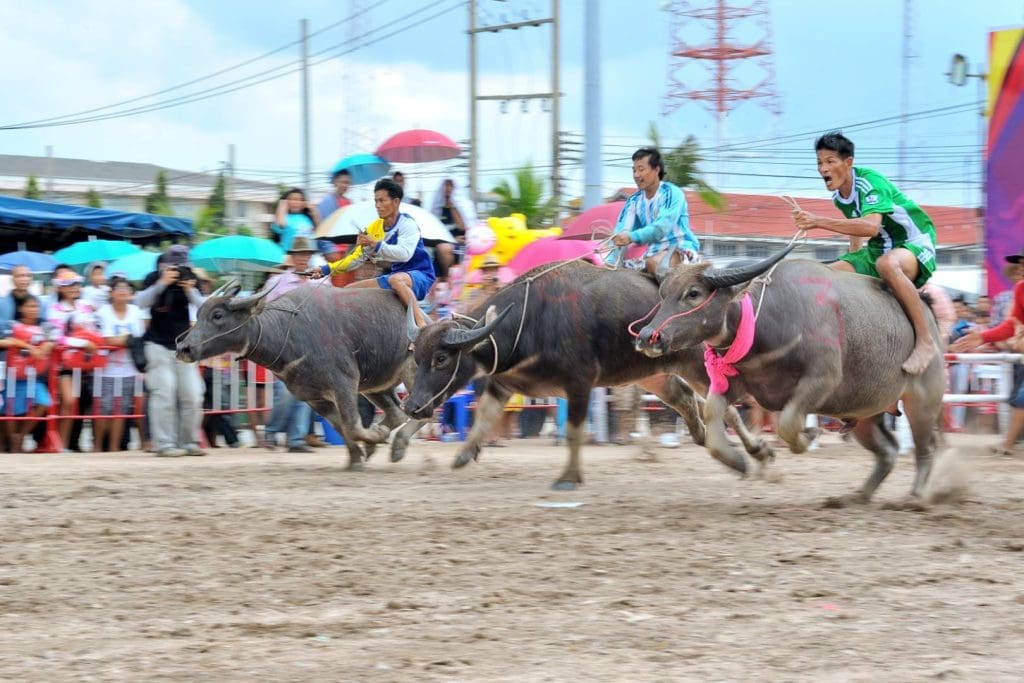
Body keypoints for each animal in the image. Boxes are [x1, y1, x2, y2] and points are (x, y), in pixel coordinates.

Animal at [174, 282, 421, 471]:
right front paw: (357, 457)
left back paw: (397, 446)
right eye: (198, 314)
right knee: (397, 412)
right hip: (376, 386)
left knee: (419, 411)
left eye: (217, 315)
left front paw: (375, 437)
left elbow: (352, 425)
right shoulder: (314, 398)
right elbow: (342, 427)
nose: (183, 348)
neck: (288, 333)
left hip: (412, 374)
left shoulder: (345, 384)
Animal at [403, 259, 770, 489]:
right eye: (416, 357)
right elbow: (484, 417)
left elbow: (574, 433)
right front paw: (464, 454)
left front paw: (568, 477)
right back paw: (707, 438)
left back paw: (752, 452)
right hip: (653, 372)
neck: (533, 320)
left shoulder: (578, 384)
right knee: (686, 400)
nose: (412, 407)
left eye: (440, 358)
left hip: (698, 365)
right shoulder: (503, 383)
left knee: (726, 407)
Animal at [634, 248, 946, 505]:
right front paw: (739, 461)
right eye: (663, 294)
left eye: (693, 293)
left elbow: (787, 424)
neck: (770, 322)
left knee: (926, 447)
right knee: (888, 451)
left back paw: (915, 497)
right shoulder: (735, 385)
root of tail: (930, 319)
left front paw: (809, 435)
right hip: (864, 411)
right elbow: (713, 419)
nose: (648, 337)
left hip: (922, 402)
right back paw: (857, 496)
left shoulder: (822, 380)